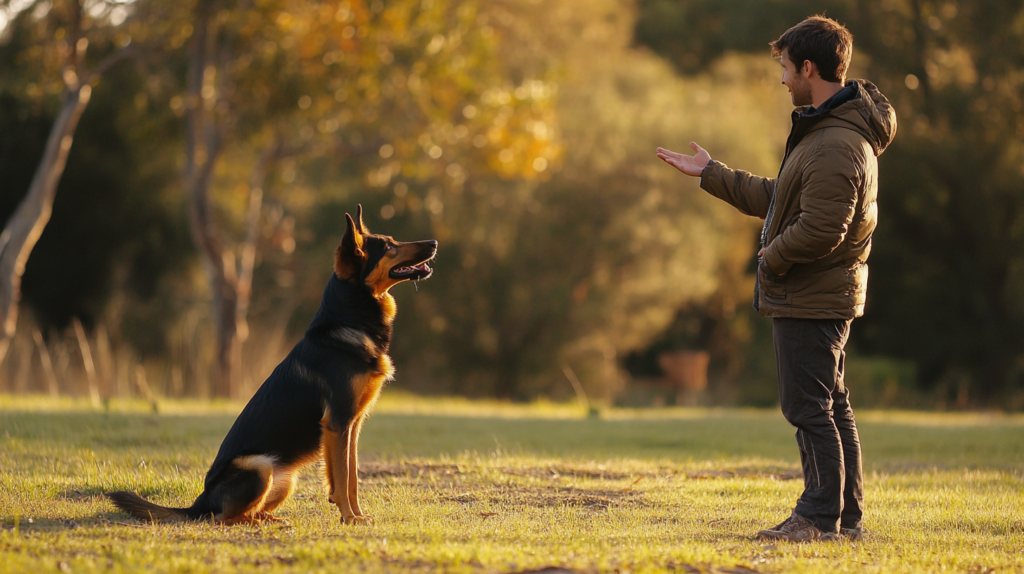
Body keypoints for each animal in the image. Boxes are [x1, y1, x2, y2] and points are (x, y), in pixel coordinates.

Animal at [109, 206, 436, 523]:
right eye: (390, 246)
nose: (433, 242)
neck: (349, 318)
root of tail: (199, 501)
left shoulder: (350, 427)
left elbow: (351, 477)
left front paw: (356, 514)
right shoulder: (338, 423)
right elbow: (343, 481)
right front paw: (350, 518)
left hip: (285, 478)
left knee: (247, 510)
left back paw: (270, 518)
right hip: (259, 466)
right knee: (222, 517)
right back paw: (254, 522)